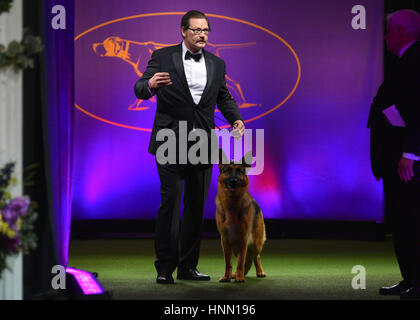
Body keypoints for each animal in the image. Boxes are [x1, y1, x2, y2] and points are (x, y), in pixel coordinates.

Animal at [217, 150, 266, 282]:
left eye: (239, 171)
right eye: (227, 170)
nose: (233, 181)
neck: (232, 204)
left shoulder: (244, 238)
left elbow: (240, 262)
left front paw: (239, 277)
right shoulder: (225, 239)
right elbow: (228, 262)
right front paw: (227, 276)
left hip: (255, 244)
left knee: (256, 257)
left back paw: (259, 272)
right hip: (235, 246)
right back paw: (235, 274)